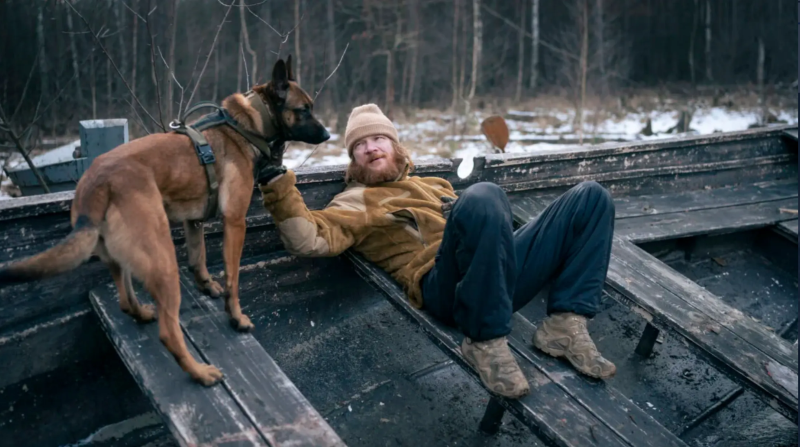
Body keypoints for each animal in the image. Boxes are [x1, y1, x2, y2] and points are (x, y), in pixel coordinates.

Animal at [0, 55, 328, 384]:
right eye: (304, 109)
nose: (327, 135)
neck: (247, 125)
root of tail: (97, 182)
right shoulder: (235, 222)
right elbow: (233, 279)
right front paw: (236, 317)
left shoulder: (193, 222)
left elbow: (198, 259)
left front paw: (207, 286)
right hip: (163, 261)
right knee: (168, 333)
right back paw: (201, 373)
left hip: (120, 257)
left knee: (125, 300)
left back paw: (144, 313)